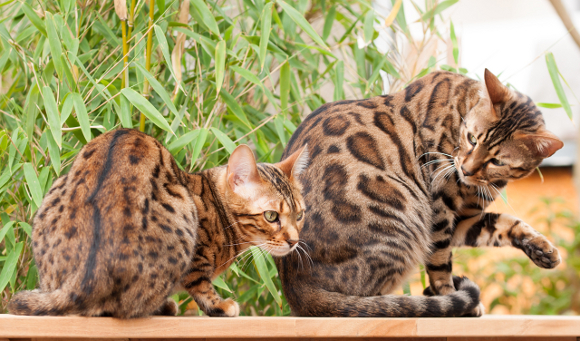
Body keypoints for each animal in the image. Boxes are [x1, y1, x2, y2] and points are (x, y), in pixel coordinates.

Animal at [9, 128, 308, 318]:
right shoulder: (197, 254)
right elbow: (200, 283)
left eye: (299, 215)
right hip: (181, 207)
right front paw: (220, 306)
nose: (294, 241)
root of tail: (84, 280)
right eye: (271, 216)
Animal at [276, 68, 560, 316]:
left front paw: (543, 249)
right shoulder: (440, 209)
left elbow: (505, 224)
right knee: (363, 304)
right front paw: (450, 297)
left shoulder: (462, 220)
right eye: (472, 138)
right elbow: (440, 263)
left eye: (497, 161)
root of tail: (294, 285)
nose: (466, 170)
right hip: (403, 219)